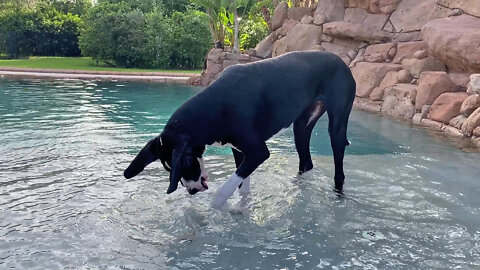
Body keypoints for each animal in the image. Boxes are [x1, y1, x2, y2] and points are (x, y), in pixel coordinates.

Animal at [124, 50, 356, 208]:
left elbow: (222, 192)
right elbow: (243, 188)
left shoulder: (258, 152)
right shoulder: (240, 151)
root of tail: (340, 61)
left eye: (183, 164)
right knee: (306, 162)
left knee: (339, 170)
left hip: (336, 128)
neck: (216, 106)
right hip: (300, 128)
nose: (191, 191)